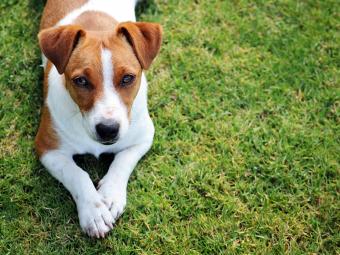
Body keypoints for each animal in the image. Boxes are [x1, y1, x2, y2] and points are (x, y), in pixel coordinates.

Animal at [34, 0, 162, 238]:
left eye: (128, 78)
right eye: (81, 81)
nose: (108, 129)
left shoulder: (143, 137)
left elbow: (122, 162)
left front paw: (110, 195)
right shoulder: (48, 148)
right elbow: (77, 174)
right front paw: (93, 212)